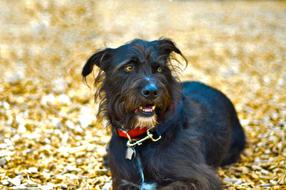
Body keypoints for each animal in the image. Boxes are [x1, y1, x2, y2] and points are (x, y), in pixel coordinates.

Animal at [82, 37, 246, 189]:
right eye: (128, 67)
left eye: (159, 69)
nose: (151, 91)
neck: (142, 139)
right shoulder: (122, 181)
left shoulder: (200, 179)